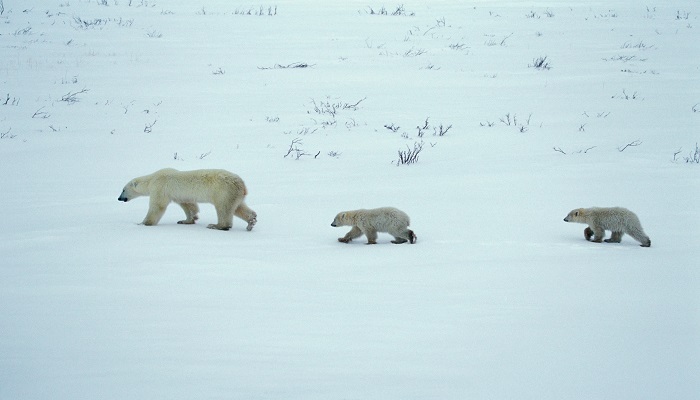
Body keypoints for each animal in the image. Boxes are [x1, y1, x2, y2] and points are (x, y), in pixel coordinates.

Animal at [119, 168, 258, 231]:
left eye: (123, 189)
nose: (119, 198)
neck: (151, 179)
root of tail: (242, 184)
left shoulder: (159, 187)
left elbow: (157, 206)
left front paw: (143, 223)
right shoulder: (180, 195)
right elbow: (189, 206)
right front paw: (185, 220)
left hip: (223, 191)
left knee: (223, 208)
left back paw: (216, 225)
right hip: (234, 194)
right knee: (238, 207)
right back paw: (251, 221)